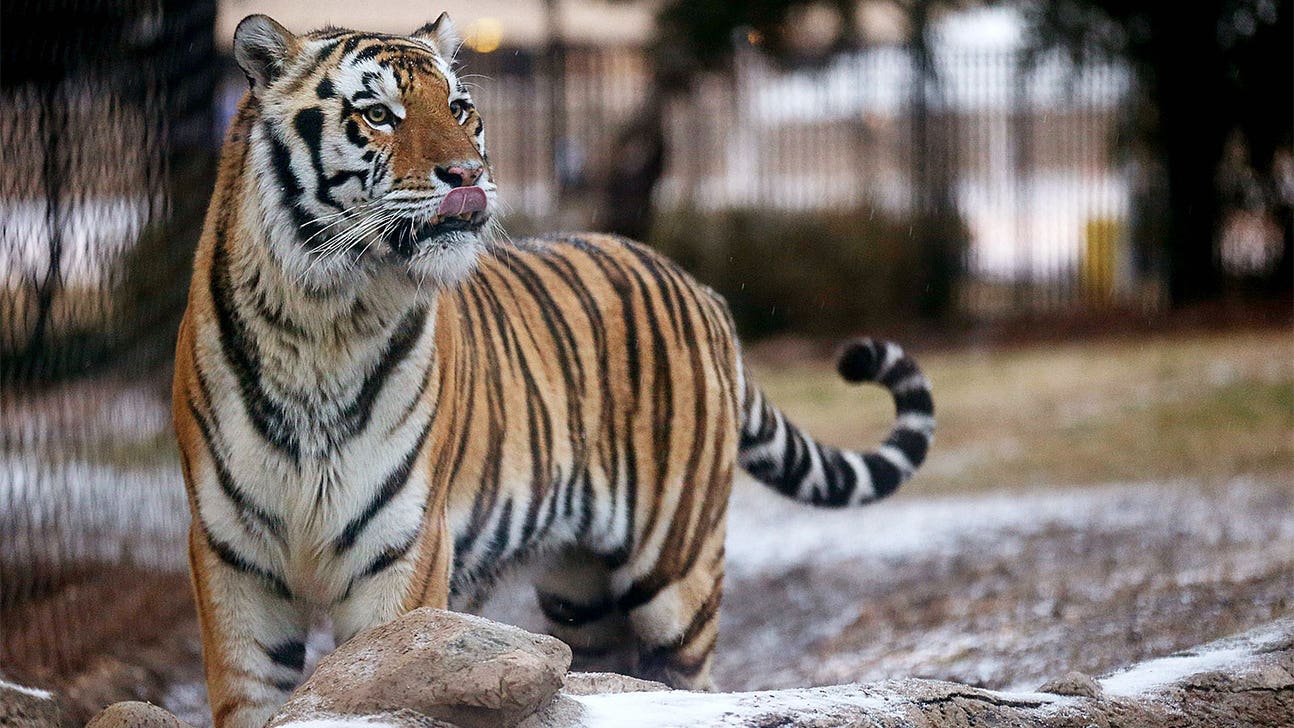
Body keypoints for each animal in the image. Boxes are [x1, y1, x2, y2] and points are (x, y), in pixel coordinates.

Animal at [172, 13, 935, 728]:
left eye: (457, 108)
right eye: (378, 114)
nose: (467, 176)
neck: (323, 317)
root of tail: (701, 288)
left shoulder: (402, 553)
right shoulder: (233, 561)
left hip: (677, 575)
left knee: (690, 677)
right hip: (581, 597)